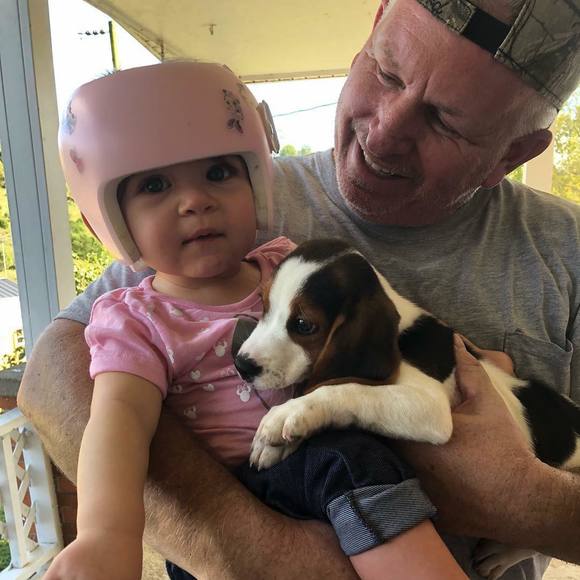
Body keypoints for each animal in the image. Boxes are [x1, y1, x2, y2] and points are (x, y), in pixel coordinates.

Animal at [234, 238, 580, 580]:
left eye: (304, 325)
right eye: (264, 304)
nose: (241, 364)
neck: (398, 334)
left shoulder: (430, 407)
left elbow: (344, 389)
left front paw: (289, 414)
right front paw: (278, 444)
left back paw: (500, 554)